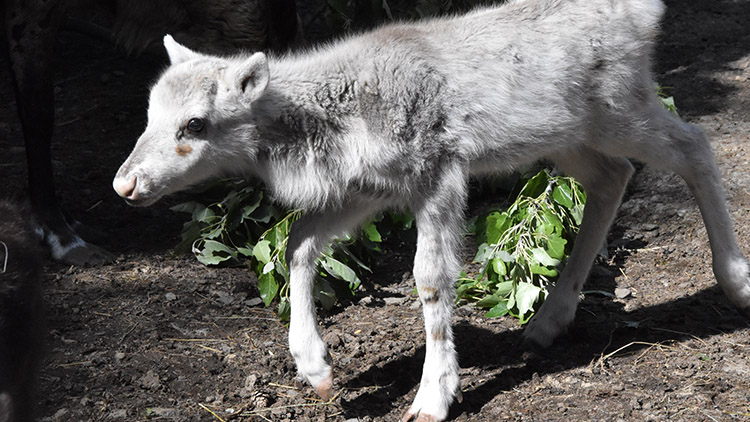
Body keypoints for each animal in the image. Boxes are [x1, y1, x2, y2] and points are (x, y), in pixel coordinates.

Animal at [111, 0, 750, 418]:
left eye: (196, 124)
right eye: (148, 111)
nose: (125, 183)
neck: (326, 125)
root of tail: (645, 11)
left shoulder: (438, 174)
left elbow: (429, 278)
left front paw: (432, 399)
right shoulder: (368, 190)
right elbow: (297, 243)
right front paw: (318, 372)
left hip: (620, 107)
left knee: (693, 145)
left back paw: (737, 283)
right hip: (567, 136)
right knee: (614, 177)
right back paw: (548, 321)